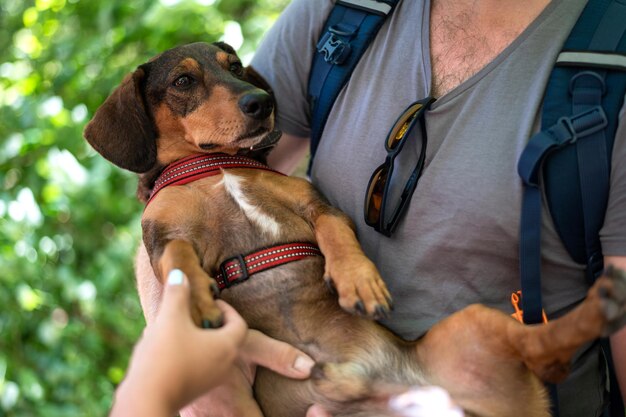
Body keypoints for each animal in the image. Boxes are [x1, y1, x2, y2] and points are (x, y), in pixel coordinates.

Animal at [85, 43, 624, 416]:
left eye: (234, 65)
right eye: (182, 80)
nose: (261, 102)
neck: (212, 167)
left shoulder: (315, 204)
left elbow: (335, 233)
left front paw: (358, 280)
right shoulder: (164, 240)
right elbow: (179, 261)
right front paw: (195, 299)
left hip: (472, 325)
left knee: (545, 349)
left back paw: (603, 302)